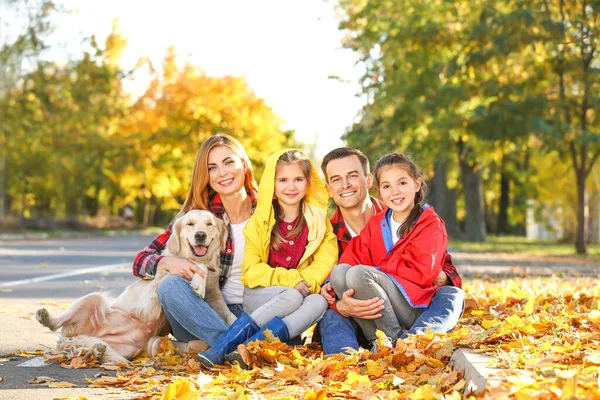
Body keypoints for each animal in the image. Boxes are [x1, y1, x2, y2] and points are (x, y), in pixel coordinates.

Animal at [34, 211, 237, 364]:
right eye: (190, 224)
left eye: (209, 224)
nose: (200, 235)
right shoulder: (165, 273)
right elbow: (197, 266)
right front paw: (198, 282)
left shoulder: (215, 296)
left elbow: (227, 313)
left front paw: (236, 322)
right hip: (93, 298)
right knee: (56, 325)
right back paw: (46, 317)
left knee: (89, 351)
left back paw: (97, 350)